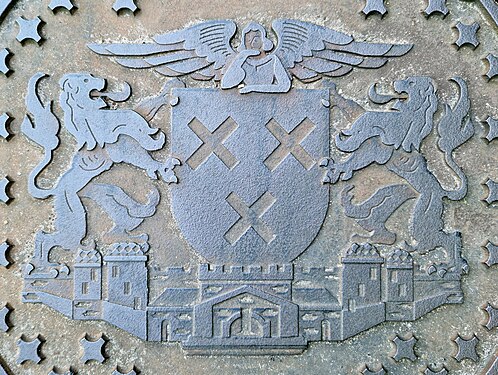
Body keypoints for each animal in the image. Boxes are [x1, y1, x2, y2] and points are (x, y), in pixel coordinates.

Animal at [21, 71, 181, 276]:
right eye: (86, 80)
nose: (103, 80)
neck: (92, 112)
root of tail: (55, 189)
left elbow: (142, 110)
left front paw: (169, 89)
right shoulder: (119, 145)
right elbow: (137, 140)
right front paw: (161, 162)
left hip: (96, 191)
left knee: (114, 210)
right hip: (75, 215)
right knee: (50, 239)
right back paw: (48, 268)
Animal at [322, 75, 474, 276]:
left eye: (410, 82)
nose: (395, 83)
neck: (409, 112)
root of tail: (442, 191)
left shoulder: (379, 146)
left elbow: (366, 126)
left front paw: (339, 161)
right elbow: (354, 110)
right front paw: (332, 93)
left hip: (422, 214)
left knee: (445, 238)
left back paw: (446, 267)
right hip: (401, 190)